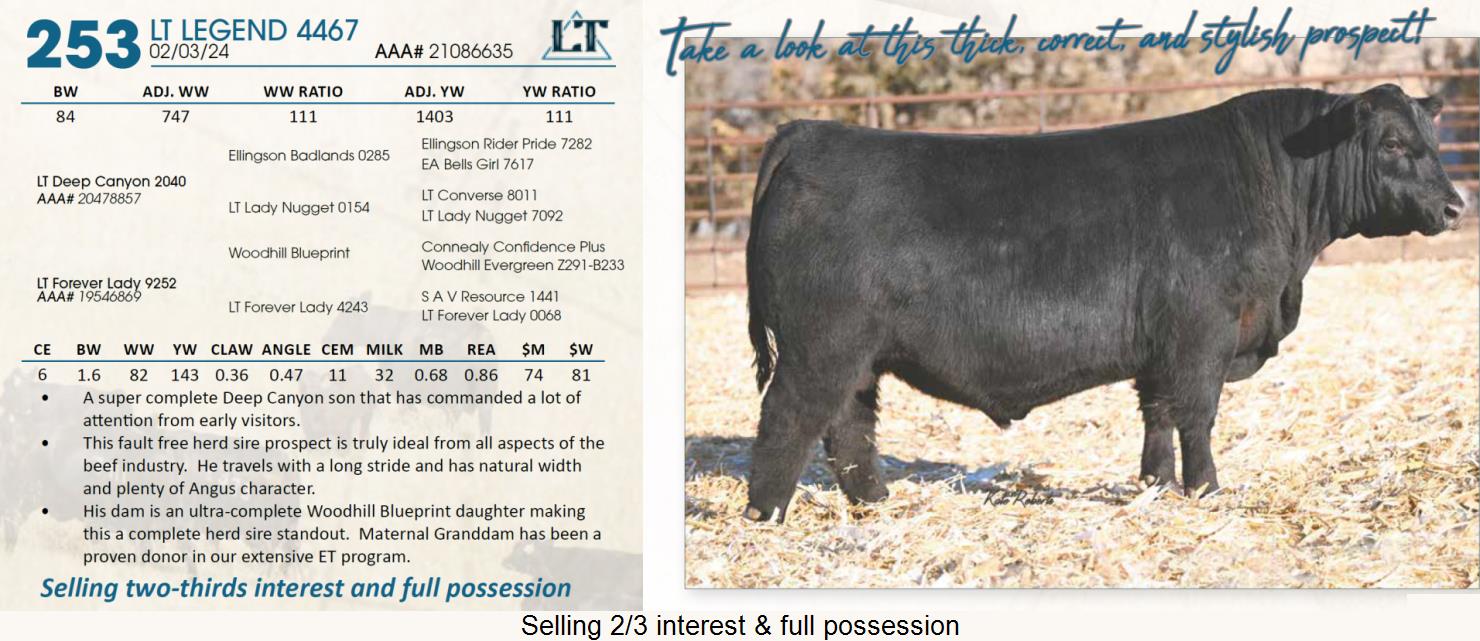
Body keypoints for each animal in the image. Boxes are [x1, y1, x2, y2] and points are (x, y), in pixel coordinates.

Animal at [741, 84, 1464, 523]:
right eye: (1393, 144)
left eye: (1431, 139)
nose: (1457, 205)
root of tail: (812, 132)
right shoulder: (1203, 334)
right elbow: (1197, 416)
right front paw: (1207, 489)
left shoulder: (1163, 346)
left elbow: (1157, 415)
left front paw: (1155, 485)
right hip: (821, 345)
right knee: (788, 418)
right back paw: (765, 513)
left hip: (857, 355)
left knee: (848, 425)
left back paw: (875, 501)